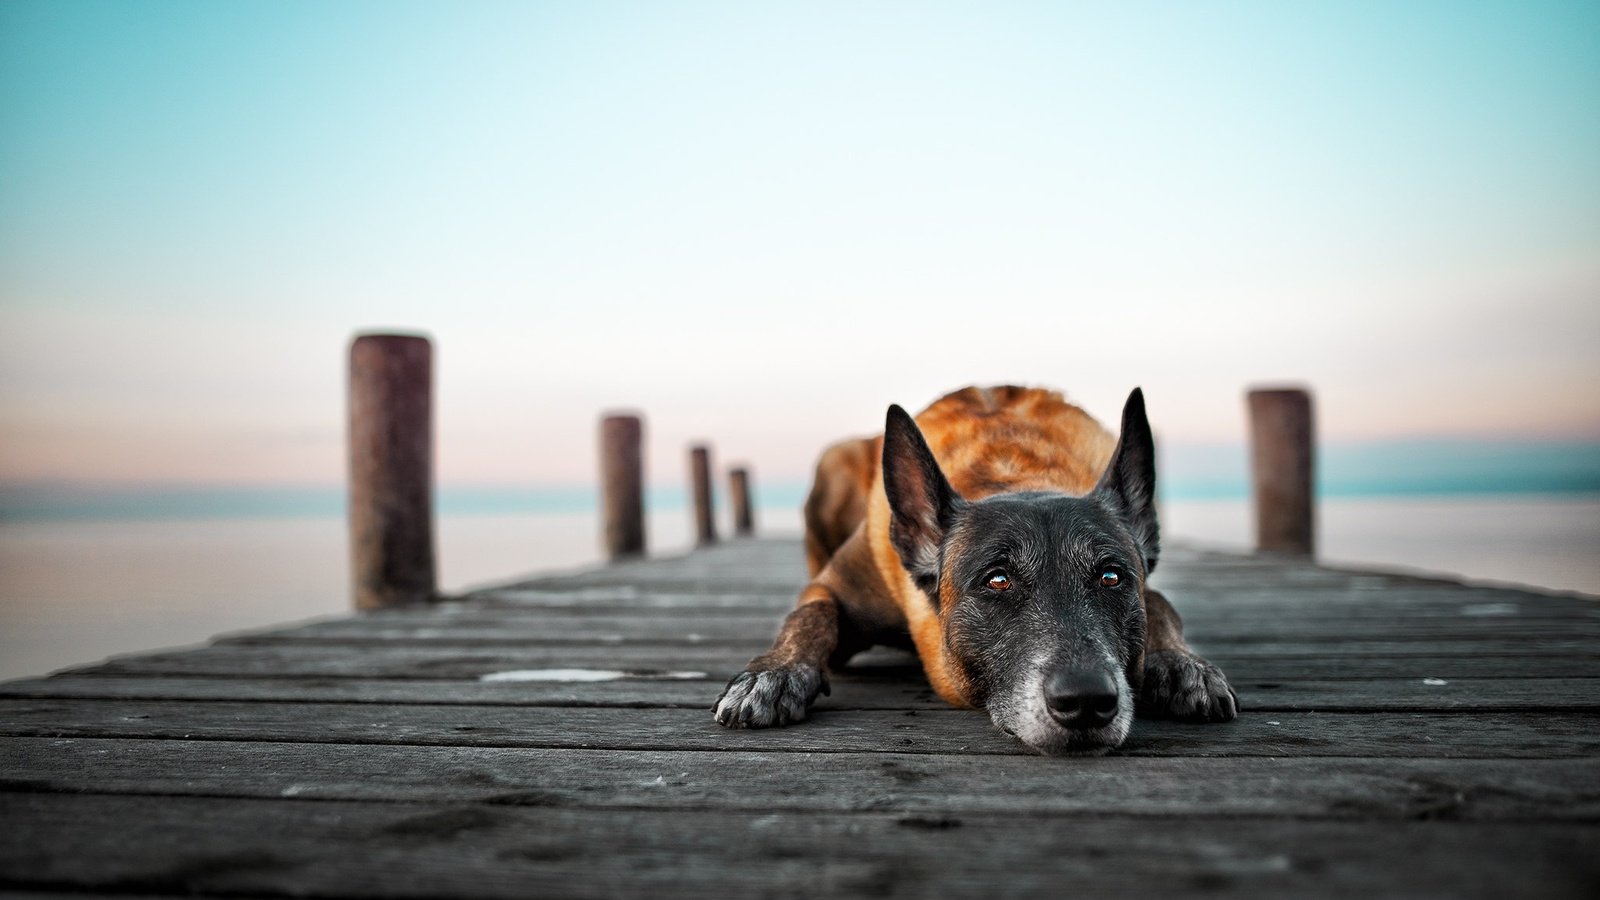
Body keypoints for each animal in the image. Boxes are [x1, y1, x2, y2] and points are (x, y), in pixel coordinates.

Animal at [713, 384, 1235, 749]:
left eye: (1111, 577)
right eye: (997, 580)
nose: (1087, 701)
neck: (1012, 473)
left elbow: (1161, 602)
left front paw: (1182, 665)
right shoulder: (832, 587)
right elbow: (811, 614)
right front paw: (774, 674)